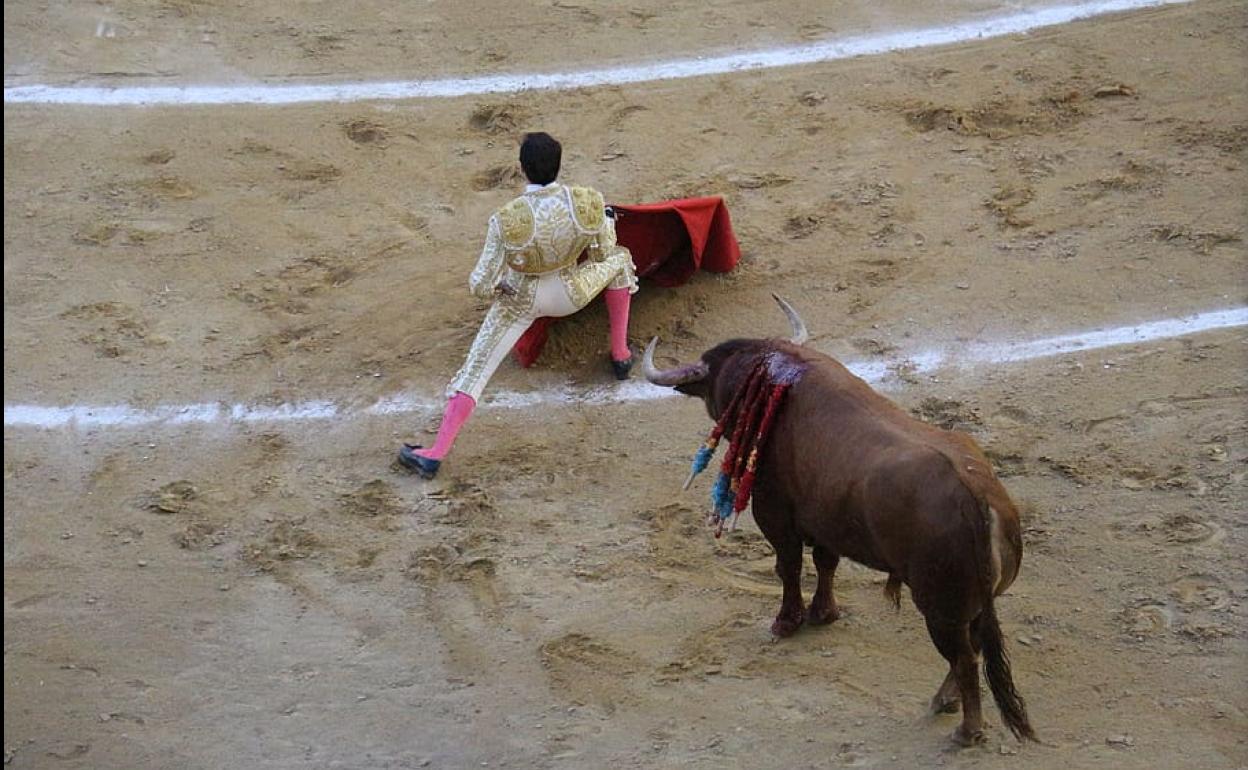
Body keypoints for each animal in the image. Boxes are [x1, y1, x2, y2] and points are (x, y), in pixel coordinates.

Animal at [643, 294, 1033, 743]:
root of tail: (981, 502)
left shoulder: (773, 513)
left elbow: (789, 566)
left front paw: (786, 622)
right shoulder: (827, 521)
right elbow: (826, 563)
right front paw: (823, 614)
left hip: (940, 608)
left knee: (965, 659)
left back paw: (966, 729)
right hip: (971, 606)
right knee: (971, 650)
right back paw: (944, 702)